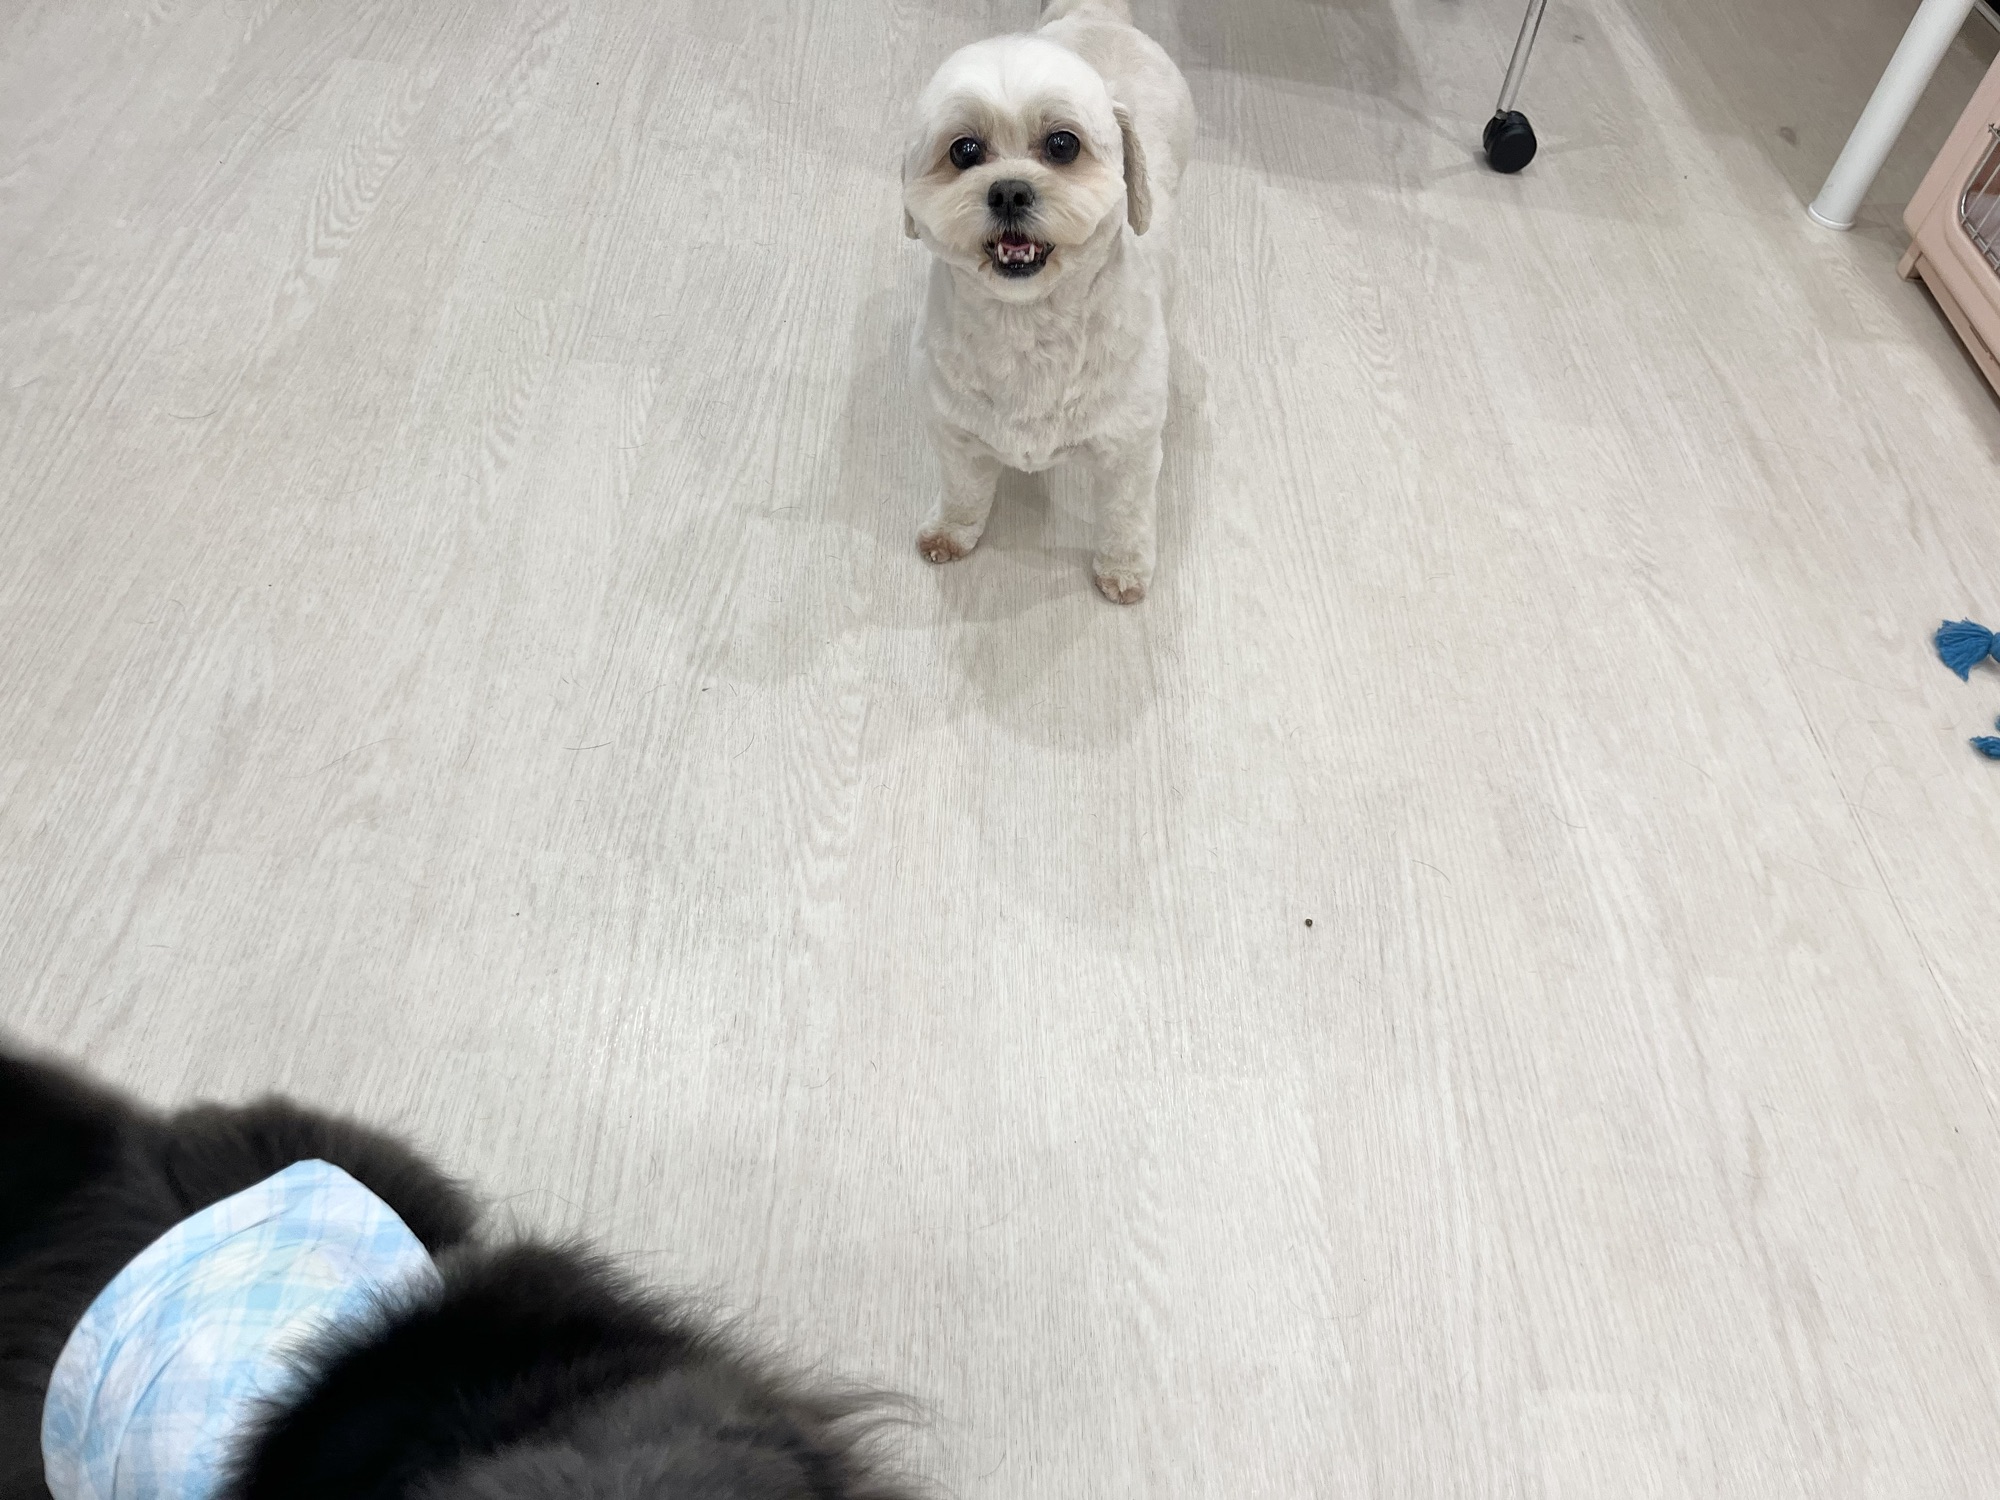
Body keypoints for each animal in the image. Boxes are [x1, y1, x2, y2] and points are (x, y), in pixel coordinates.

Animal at [903, 0, 1195, 605]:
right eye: (964, 151)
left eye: (1063, 145)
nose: (1009, 190)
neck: (1028, 326)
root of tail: (1099, 13)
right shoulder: (955, 436)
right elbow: (963, 493)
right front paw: (951, 533)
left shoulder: (1129, 452)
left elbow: (1126, 517)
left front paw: (1124, 571)